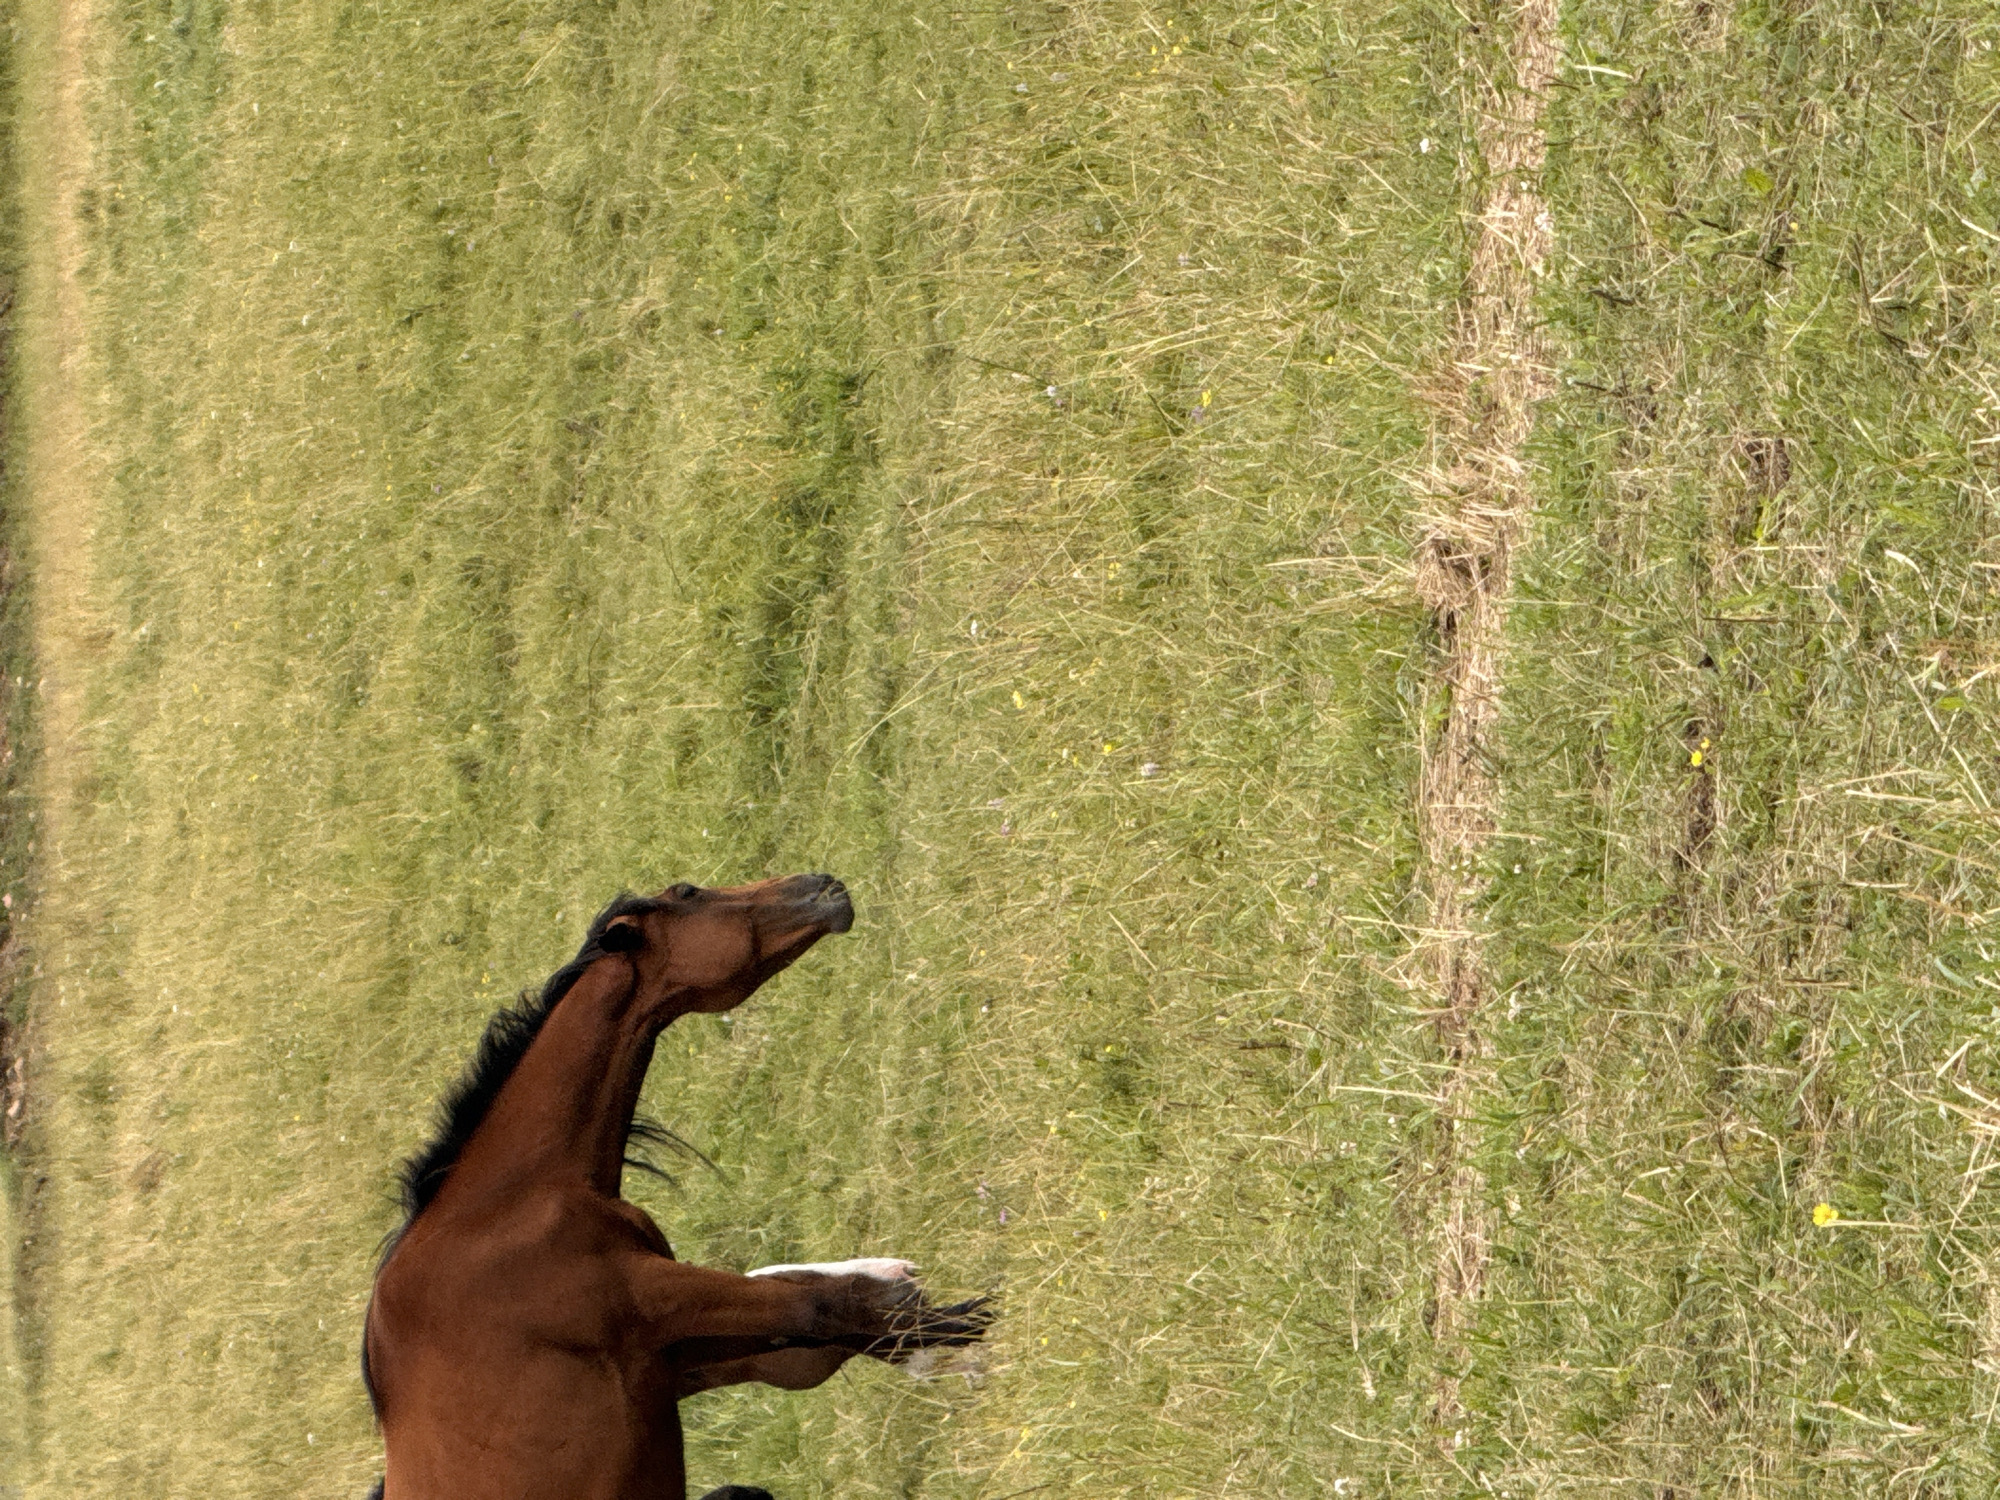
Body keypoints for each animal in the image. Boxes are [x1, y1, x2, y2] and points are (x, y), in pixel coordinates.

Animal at [362, 874, 993, 1499]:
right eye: (688, 894)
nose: (824, 886)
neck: (501, 1216)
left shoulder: (671, 1350)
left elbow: (808, 1329)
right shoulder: (654, 1296)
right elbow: (813, 1307)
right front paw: (953, 1321)